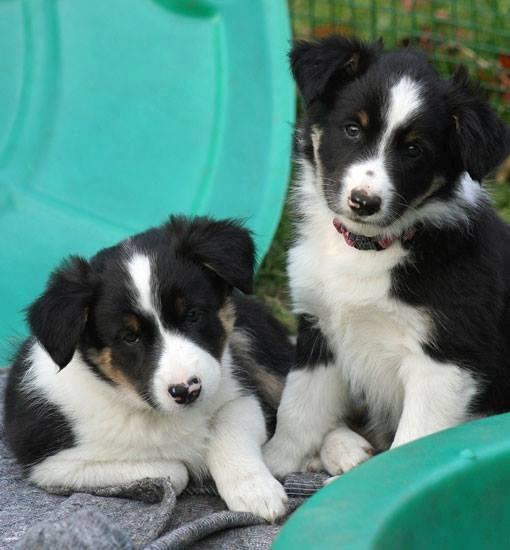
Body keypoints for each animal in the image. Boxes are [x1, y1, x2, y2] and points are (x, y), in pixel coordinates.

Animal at [4, 216, 290, 520]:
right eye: (130, 337)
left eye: (192, 315)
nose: (187, 391)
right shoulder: (55, 466)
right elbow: (174, 471)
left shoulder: (239, 394)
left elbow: (230, 432)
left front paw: (255, 491)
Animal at [264, 35, 510, 478]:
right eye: (352, 129)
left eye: (414, 150)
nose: (364, 202)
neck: (370, 246)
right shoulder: (318, 328)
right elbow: (299, 408)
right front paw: (272, 466)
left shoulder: (445, 360)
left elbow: (412, 444)